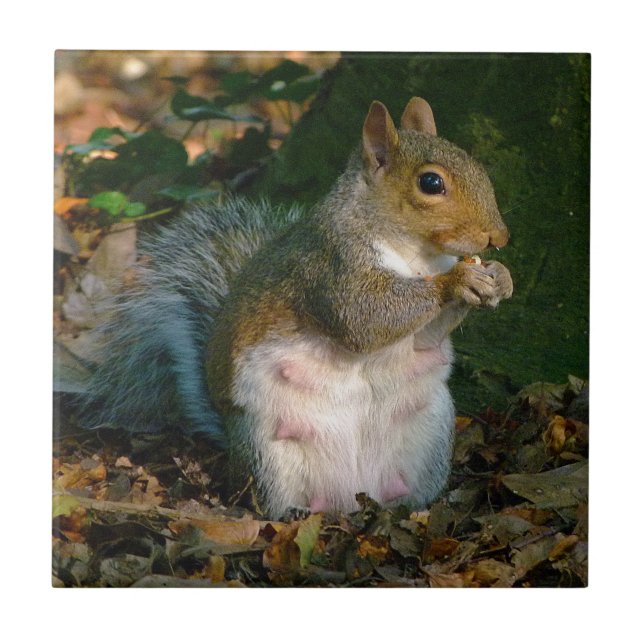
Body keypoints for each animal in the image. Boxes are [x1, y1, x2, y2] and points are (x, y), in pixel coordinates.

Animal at [82, 97, 513, 519]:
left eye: (476, 165)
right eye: (431, 183)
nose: (501, 237)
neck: (417, 257)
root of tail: (351, 495)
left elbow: (425, 338)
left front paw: (500, 277)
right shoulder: (332, 266)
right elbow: (364, 319)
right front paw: (457, 280)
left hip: (432, 432)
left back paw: (410, 508)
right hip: (267, 450)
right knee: (268, 501)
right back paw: (293, 513)